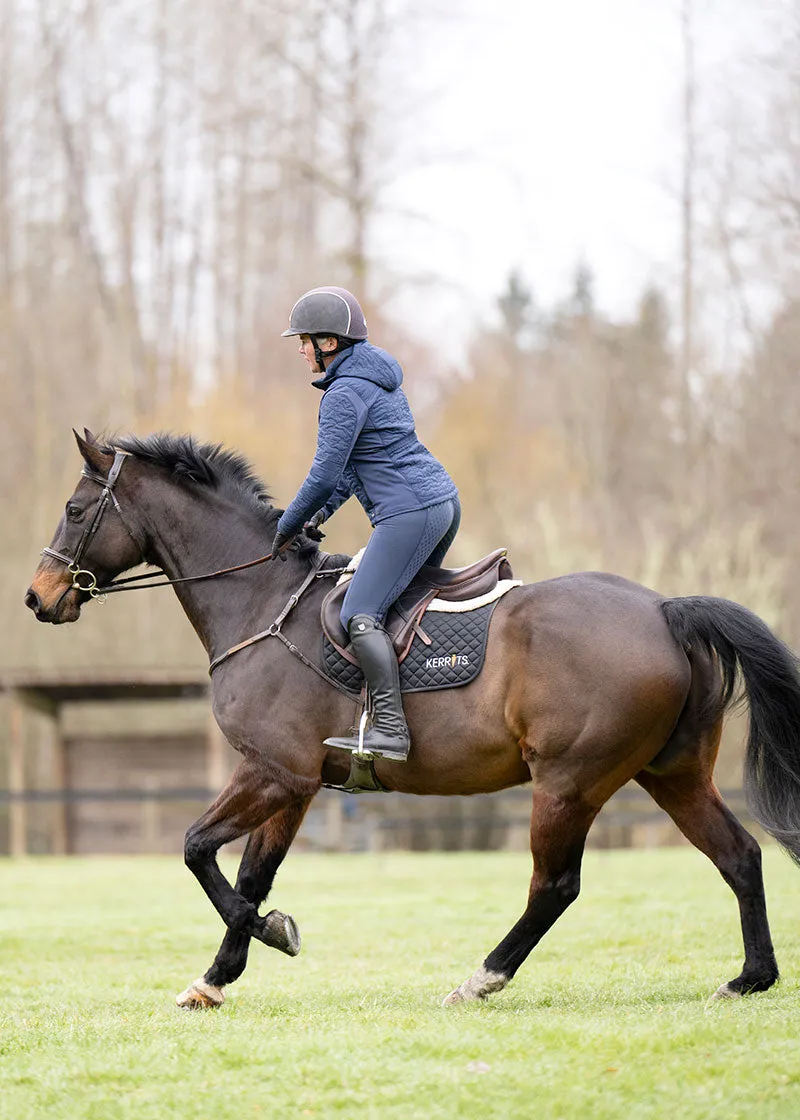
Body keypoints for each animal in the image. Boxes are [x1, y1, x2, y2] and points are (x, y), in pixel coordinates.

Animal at [21, 427, 797, 1008]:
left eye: (74, 509)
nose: (38, 597)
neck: (260, 598)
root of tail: (666, 610)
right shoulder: (294, 784)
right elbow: (248, 873)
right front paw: (215, 980)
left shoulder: (275, 771)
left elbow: (198, 851)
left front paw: (274, 933)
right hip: (672, 773)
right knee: (739, 855)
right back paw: (750, 978)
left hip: (570, 782)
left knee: (555, 886)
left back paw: (482, 978)